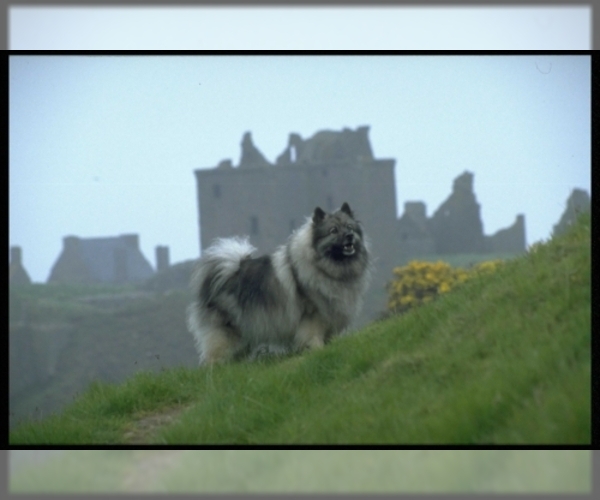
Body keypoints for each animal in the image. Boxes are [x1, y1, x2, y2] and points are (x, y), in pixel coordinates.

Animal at [186, 202, 370, 364]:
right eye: (333, 231)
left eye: (349, 227)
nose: (349, 236)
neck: (328, 270)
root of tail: (223, 274)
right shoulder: (312, 316)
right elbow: (313, 338)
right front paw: (317, 351)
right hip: (226, 334)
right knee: (214, 358)